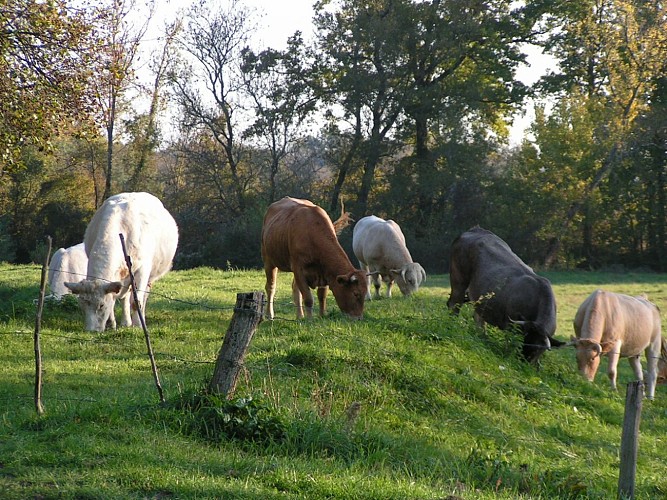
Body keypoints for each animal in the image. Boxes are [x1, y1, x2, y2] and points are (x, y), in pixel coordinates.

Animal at [64, 191, 179, 332]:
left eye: (101, 305)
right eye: (82, 306)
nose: (91, 331)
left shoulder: (142, 270)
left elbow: (136, 301)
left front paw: (139, 325)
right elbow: (114, 298)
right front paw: (111, 324)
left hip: (150, 276)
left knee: (143, 298)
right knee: (125, 297)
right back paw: (126, 322)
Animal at [448, 228, 564, 364]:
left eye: (538, 349)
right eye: (523, 341)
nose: (523, 362)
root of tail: (477, 229)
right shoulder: (511, 326)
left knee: (478, 318)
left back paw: (482, 337)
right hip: (458, 281)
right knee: (454, 305)